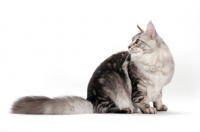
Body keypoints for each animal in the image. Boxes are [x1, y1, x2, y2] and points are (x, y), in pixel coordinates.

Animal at [11, 21, 173, 114]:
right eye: (131, 41)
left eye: (137, 41)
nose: (128, 46)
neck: (155, 64)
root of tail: (90, 99)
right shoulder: (138, 86)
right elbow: (142, 99)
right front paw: (148, 109)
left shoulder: (159, 87)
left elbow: (158, 98)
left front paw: (160, 107)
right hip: (107, 90)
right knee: (106, 109)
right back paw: (127, 109)